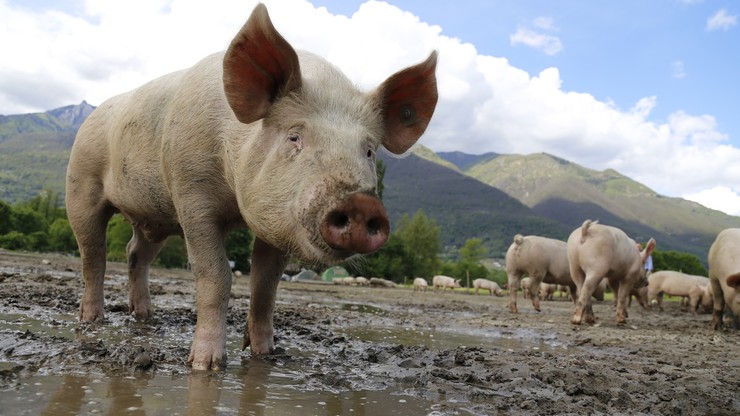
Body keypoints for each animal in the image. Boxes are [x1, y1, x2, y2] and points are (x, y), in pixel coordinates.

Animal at [65, 4, 440, 370]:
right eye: (294, 136)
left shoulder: (277, 222)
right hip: (81, 183)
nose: (361, 203)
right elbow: (215, 276)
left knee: (134, 254)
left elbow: (265, 286)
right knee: (93, 255)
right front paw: (206, 365)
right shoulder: (191, 195)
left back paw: (145, 316)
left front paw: (266, 355)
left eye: (369, 150)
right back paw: (92, 320)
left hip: (153, 218)